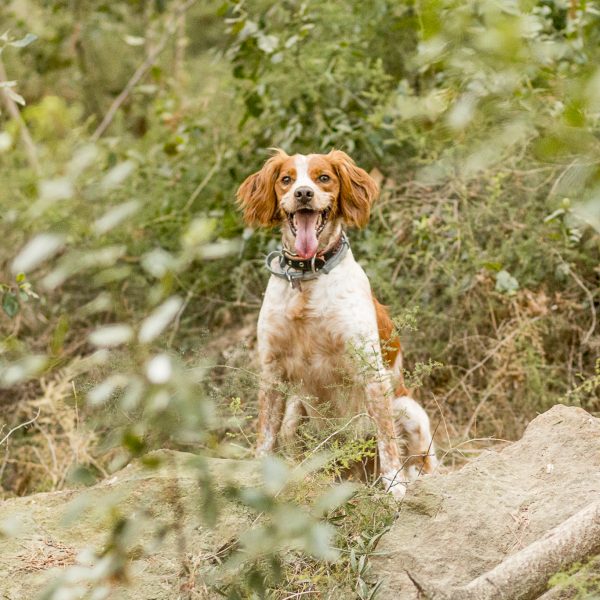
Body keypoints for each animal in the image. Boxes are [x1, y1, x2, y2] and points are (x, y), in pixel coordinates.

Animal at [237, 150, 438, 496]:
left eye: (324, 178)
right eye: (286, 179)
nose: (304, 194)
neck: (307, 278)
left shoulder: (370, 371)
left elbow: (387, 440)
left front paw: (395, 487)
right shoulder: (272, 371)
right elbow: (265, 435)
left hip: (409, 410)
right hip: (296, 413)